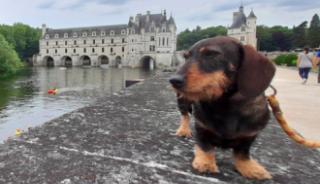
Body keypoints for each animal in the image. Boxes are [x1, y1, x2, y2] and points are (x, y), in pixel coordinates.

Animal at [169, 36, 276, 180]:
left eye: (211, 55)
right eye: (186, 57)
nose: (174, 80)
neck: (224, 104)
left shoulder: (250, 135)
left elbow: (243, 153)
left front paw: (250, 168)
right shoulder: (201, 127)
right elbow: (205, 146)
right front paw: (206, 162)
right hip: (183, 101)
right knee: (185, 115)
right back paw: (184, 130)